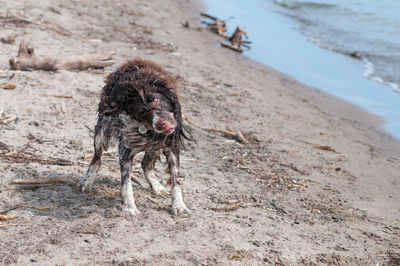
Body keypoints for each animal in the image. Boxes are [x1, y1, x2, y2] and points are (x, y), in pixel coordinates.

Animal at [79, 58, 191, 216]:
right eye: (141, 112)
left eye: (155, 100)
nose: (161, 124)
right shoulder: (125, 149)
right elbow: (126, 182)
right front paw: (130, 207)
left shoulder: (171, 146)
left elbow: (176, 179)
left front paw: (179, 205)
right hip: (102, 132)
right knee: (97, 159)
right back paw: (87, 180)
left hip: (153, 147)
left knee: (146, 165)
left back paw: (156, 186)